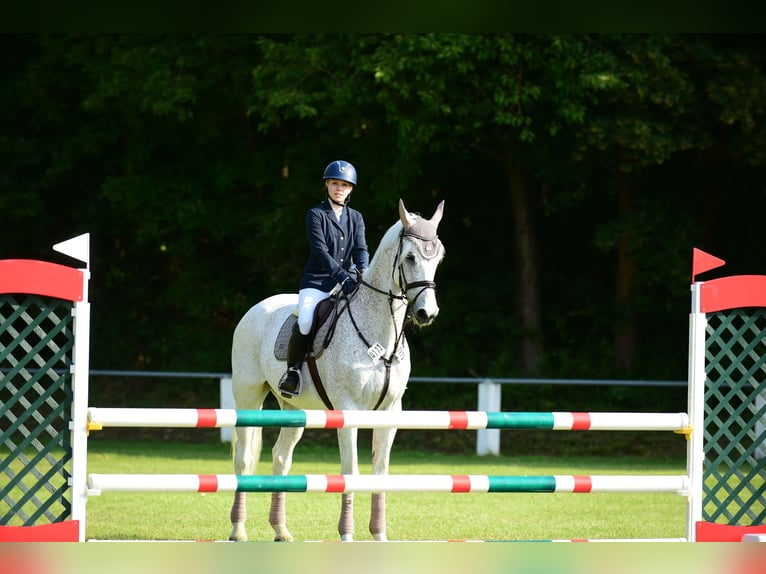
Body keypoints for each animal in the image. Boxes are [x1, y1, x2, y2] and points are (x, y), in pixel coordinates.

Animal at [228, 199, 448, 544]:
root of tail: (256, 308)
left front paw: (379, 535)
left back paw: (281, 530)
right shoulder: (349, 410)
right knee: (245, 459)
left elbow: (380, 474)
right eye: (411, 257)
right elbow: (350, 473)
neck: (381, 334)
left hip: (294, 409)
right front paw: (347, 535)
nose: (428, 313)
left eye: (438, 257)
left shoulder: (390, 412)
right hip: (249, 397)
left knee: (281, 458)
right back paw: (238, 530)